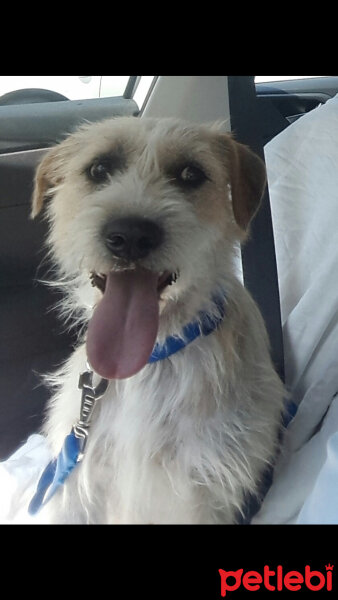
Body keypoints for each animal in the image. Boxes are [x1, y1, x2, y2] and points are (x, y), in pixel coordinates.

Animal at [29, 116, 286, 520]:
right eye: (99, 169)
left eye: (190, 174)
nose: (131, 235)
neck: (146, 365)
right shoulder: (80, 488)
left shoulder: (202, 492)